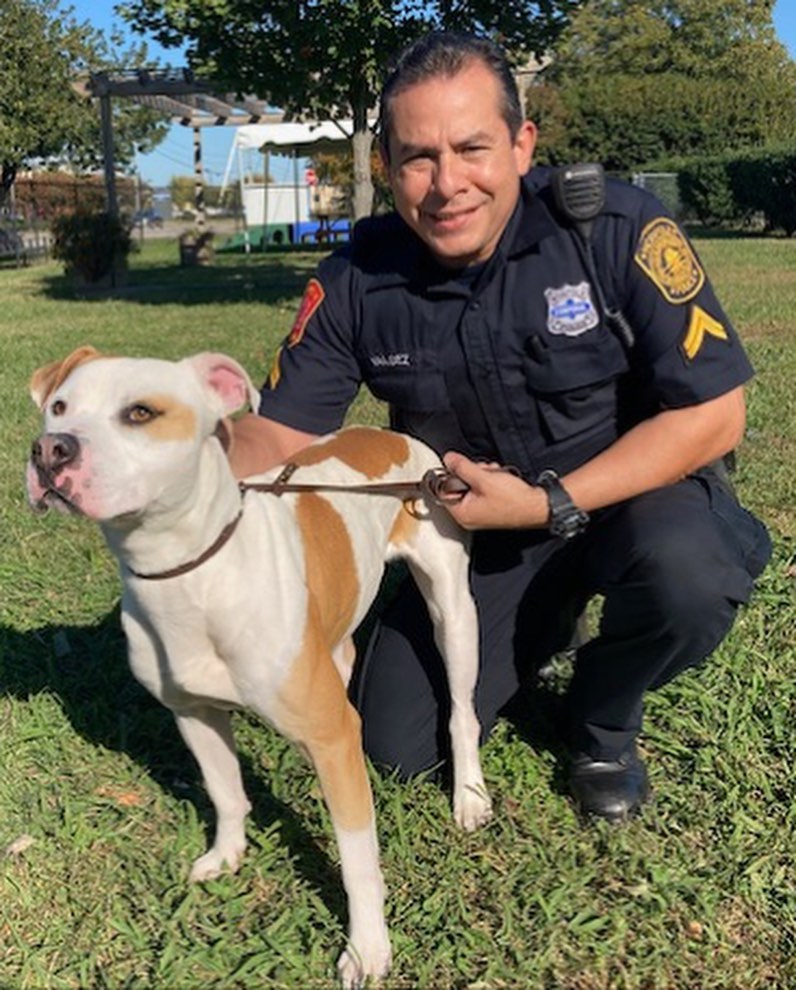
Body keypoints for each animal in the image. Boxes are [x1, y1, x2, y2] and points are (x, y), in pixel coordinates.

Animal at [26, 344, 492, 988]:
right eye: (59, 407)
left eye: (141, 412)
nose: (51, 450)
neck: (190, 574)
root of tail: (390, 437)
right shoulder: (193, 713)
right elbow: (224, 790)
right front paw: (226, 855)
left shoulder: (334, 739)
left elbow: (358, 859)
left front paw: (368, 949)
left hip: (451, 606)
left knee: (462, 708)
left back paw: (469, 797)